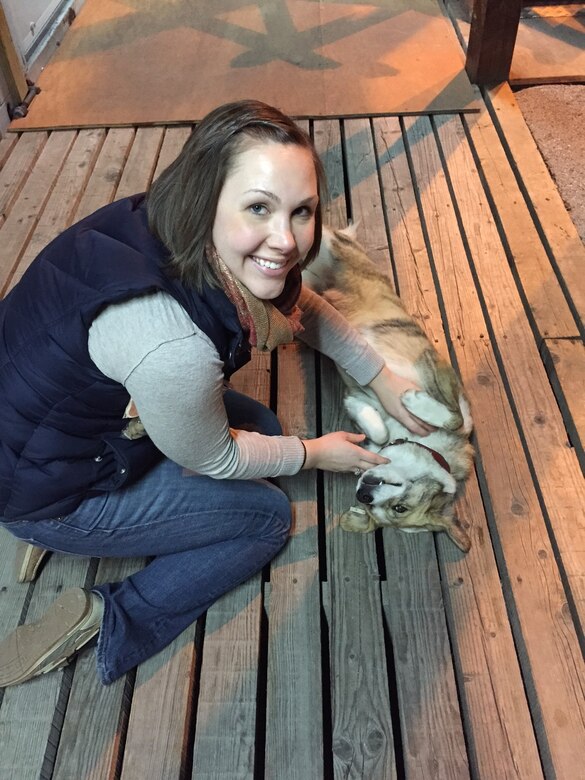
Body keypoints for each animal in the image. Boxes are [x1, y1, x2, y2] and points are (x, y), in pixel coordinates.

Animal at [304, 225, 472, 556]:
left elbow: (376, 430)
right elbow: (453, 416)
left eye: (397, 509)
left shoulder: (362, 397)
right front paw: (415, 401)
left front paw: (367, 419)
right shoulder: (438, 369)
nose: (363, 495)